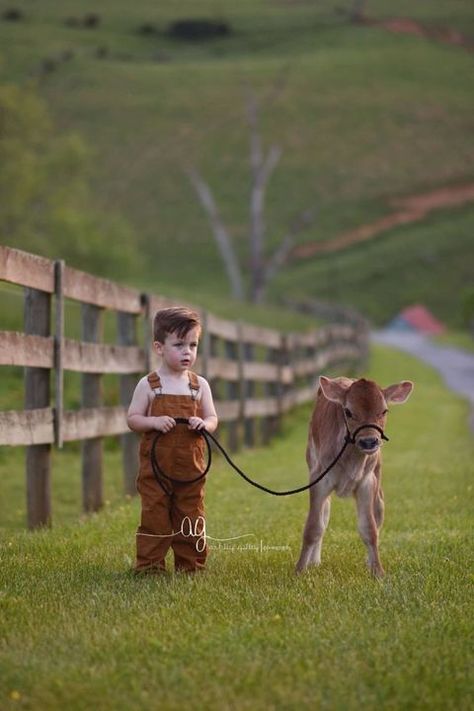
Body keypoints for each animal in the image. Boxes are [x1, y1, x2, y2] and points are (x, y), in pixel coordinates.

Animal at [296, 376, 412, 576]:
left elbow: (370, 529)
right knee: (324, 516)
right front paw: (300, 570)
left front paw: (378, 572)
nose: (369, 441)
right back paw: (314, 561)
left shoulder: (367, 482)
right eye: (348, 412)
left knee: (378, 513)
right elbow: (313, 527)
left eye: (384, 410)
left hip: (377, 479)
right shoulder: (319, 480)